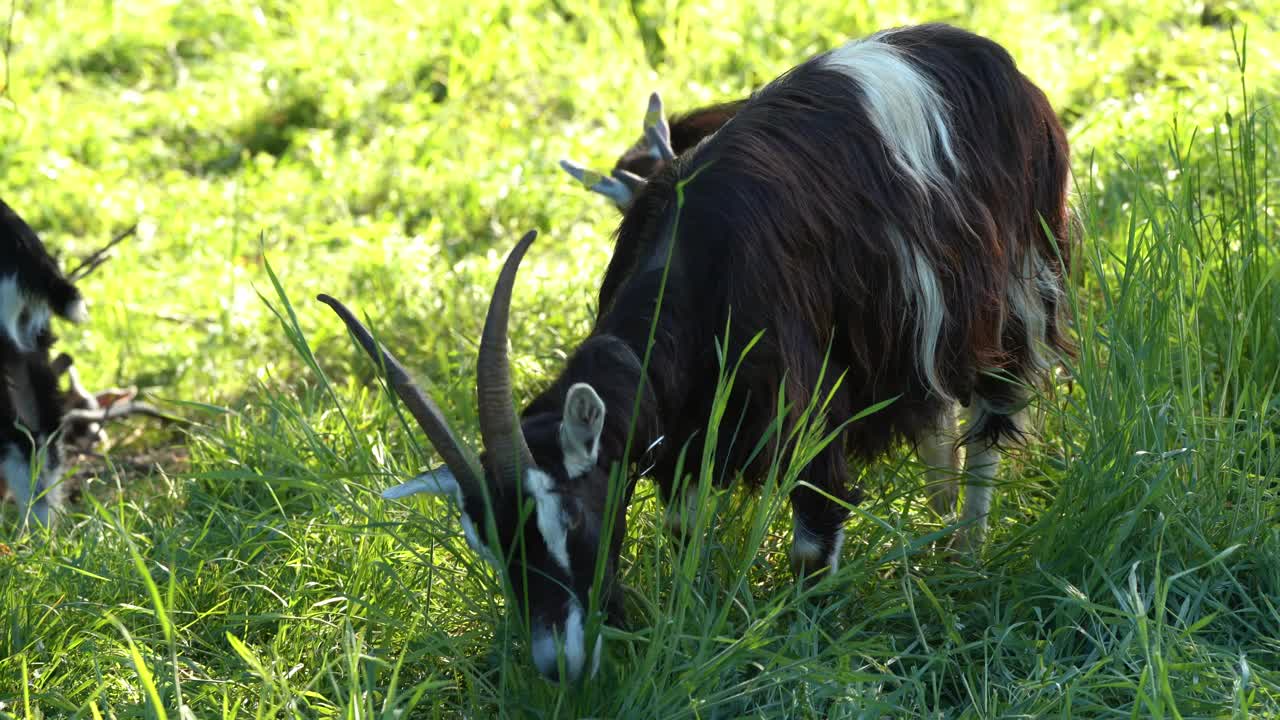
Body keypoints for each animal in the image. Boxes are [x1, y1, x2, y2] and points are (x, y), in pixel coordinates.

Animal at [320, 25, 1070, 681]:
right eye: (490, 545)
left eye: (571, 517)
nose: (558, 665)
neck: (693, 264)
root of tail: (989, 57)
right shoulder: (680, 442)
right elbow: (685, 533)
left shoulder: (805, 423)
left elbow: (812, 546)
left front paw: (809, 657)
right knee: (935, 411)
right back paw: (938, 520)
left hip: (1016, 284)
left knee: (992, 412)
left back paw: (965, 555)